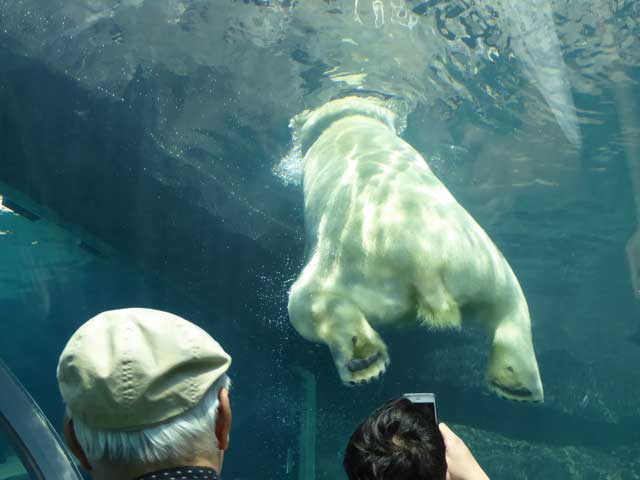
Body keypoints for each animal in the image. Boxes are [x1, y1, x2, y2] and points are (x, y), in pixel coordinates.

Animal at [290, 96, 544, 402]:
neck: (347, 118)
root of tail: (423, 263)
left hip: (347, 265)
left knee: (308, 302)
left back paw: (363, 361)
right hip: (478, 260)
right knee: (509, 300)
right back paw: (516, 383)